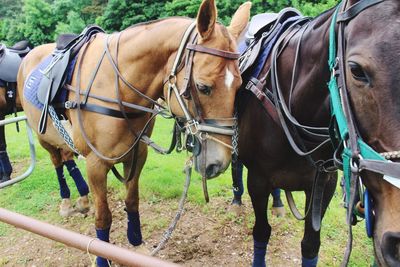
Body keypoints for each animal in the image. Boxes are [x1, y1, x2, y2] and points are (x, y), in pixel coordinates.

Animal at [18, 0, 250, 266]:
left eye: (239, 85)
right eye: (203, 87)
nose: (218, 163)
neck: (117, 86)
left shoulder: (138, 153)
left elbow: (131, 201)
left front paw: (136, 245)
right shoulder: (96, 163)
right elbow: (104, 216)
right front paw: (102, 257)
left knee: (67, 158)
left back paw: (83, 199)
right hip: (43, 137)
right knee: (57, 162)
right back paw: (66, 201)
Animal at [236, 1, 400, 266]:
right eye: (356, 70)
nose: (397, 243)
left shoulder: (324, 183)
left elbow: (311, 245)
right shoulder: (258, 180)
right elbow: (261, 232)